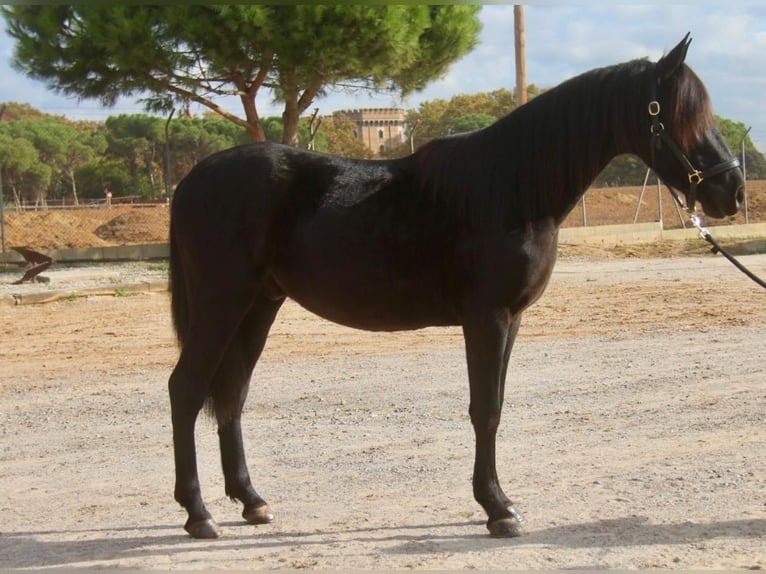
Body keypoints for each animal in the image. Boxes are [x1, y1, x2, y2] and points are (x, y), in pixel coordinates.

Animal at [167, 35, 743, 539]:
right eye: (675, 113)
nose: (732, 191)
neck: (512, 188)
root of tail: (192, 179)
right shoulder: (486, 317)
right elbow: (484, 409)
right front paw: (498, 509)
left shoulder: (511, 318)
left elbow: (496, 405)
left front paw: (497, 502)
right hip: (222, 303)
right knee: (187, 388)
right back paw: (198, 515)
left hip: (258, 306)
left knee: (232, 394)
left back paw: (251, 501)